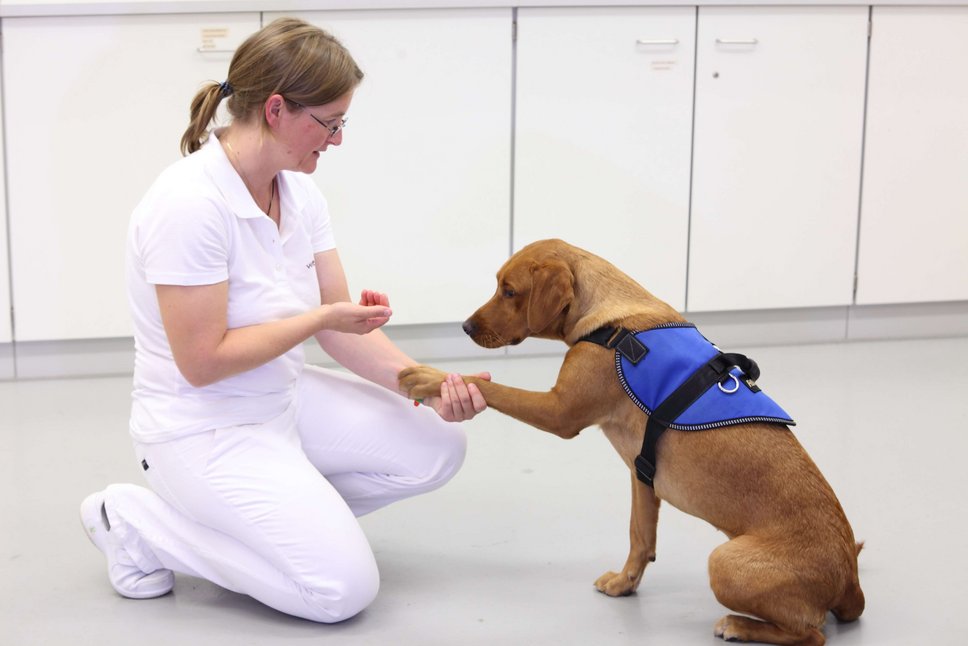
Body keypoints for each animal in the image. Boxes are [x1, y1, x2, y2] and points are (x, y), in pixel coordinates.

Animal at [399, 239, 864, 645]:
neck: (610, 321)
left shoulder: (559, 412)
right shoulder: (642, 475)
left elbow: (488, 386)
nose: (465, 326)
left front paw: (429, 377)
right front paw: (625, 584)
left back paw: (739, 625)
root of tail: (849, 579)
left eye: (509, 290)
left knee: (812, 634)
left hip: (724, 562)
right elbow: (641, 538)